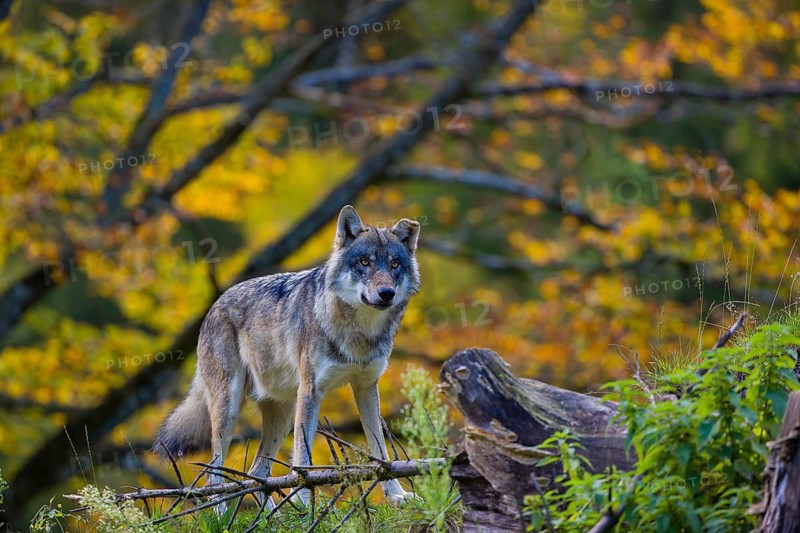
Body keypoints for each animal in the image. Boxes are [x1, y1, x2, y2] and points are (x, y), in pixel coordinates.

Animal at [153, 205, 421, 507]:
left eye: (395, 264)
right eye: (364, 262)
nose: (386, 293)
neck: (359, 332)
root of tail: (214, 305)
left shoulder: (365, 387)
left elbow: (381, 449)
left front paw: (396, 495)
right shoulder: (311, 391)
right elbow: (303, 459)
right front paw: (305, 500)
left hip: (283, 414)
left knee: (257, 474)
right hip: (229, 408)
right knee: (214, 476)